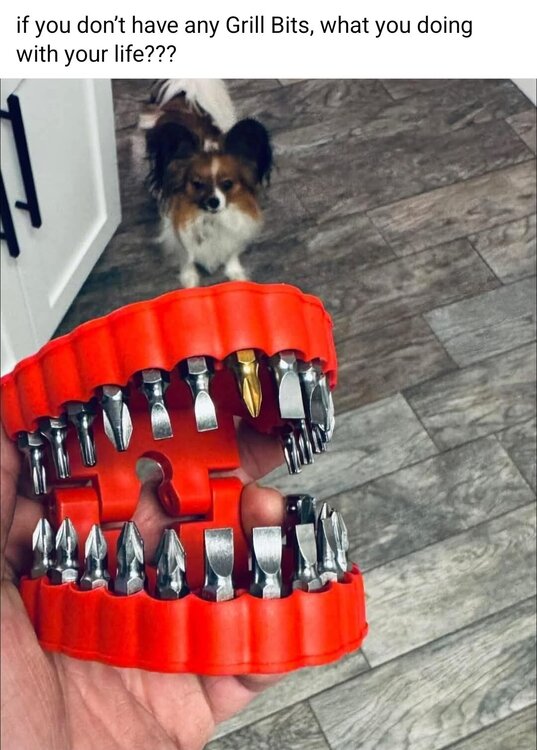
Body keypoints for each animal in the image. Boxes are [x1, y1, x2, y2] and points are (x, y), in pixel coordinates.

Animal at [141, 80, 273, 288]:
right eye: (197, 183)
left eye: (227, 184)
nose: (213, 202)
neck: (211, 219)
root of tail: (181, 98)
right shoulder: (178, 230)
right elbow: (186, 256)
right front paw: (190, 280)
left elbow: (231, 251)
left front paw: (235, 273)